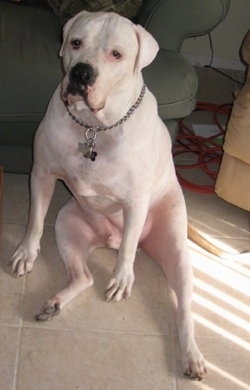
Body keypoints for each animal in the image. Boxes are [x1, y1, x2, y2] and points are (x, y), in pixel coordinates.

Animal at [10, 11, 207, 378]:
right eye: (76, 43)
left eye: (116, 54)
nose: (81, 72)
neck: (95, 125)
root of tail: (107, 239)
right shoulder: (41, 173)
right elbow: (34, 220)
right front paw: (26, 253)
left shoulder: (135, 201)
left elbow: (128, 247)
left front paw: (121, 278)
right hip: (67, 223)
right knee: (84, 276)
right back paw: (54, 303)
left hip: (175, 250)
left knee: (184, 309)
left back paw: (192, 357)